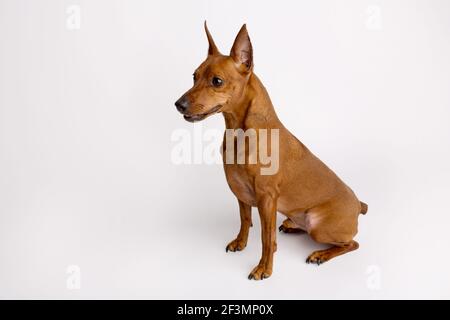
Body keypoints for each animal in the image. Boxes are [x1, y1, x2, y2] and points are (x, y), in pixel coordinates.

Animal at [174, 23, 368, 280]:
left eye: (216, 81)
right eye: (194, 76)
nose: (178, 104)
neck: (240, 133)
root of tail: (359, 205)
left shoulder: (267, 200)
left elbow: (267, 239)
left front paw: (263, 268)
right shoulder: (241, 193)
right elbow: (245, 220)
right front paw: (240, 243)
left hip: (319, 227)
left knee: (351, 244)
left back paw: (320, 254)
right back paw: (291, 225)